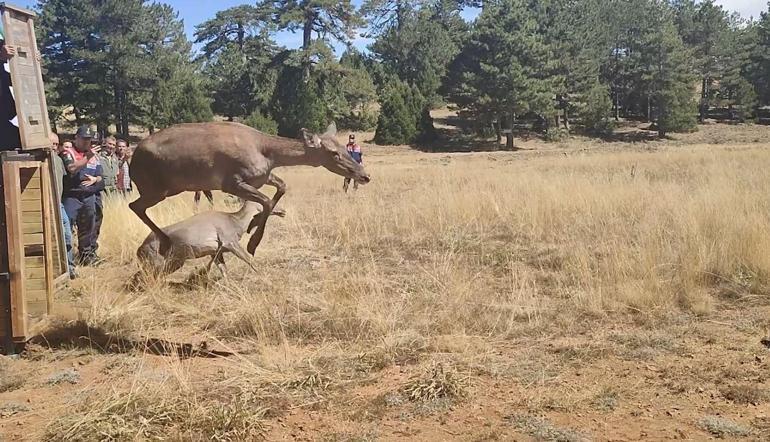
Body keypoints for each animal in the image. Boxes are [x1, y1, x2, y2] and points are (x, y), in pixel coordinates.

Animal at [129, 123, 368, 256]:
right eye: (333, 153)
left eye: (343, 148)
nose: (364, 175)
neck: (267, 152)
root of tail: (132, 162)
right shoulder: (232, 181)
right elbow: (266, 201)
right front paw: (253, 242)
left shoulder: (260, 178)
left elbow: (282, 187)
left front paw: (253, 225)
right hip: (156, 188)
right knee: (134, 205)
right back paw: (165, 240)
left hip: (163, 189)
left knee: (136, 206)